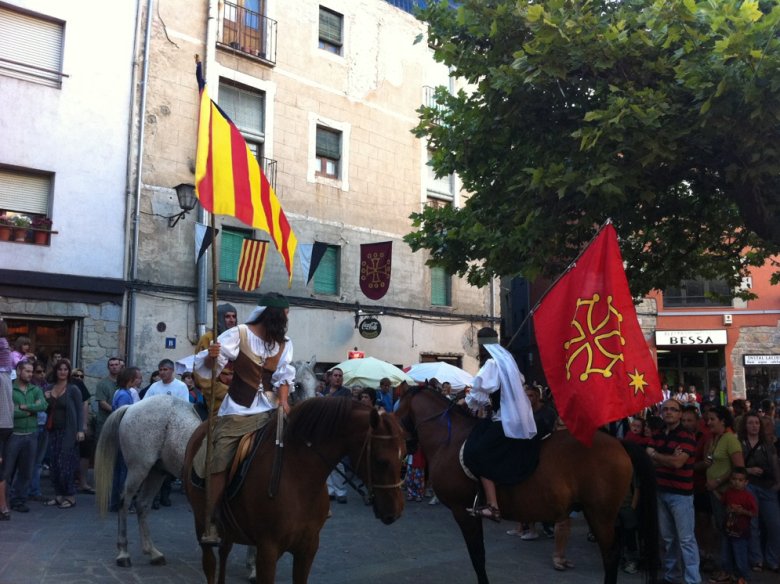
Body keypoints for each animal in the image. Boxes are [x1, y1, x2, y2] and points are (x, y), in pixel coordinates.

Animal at [93, 356, 318, 576]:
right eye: (298, 385)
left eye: (316, 385)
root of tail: (132, 407)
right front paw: (254, 567)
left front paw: (252, 564)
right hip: (138, 468)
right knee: (124, 501)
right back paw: (123, 553)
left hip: (157, 471)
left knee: (142, 505)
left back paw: (153, 553)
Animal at [181, 396, 406, 584]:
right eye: (381, 461)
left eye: (404, 457)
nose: (394, 512)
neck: (299, 476)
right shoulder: (268, 551)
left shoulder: (307, 549)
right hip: (202, 524)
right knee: (210, 564)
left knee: (224, 552)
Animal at [396, 388, 660, 584]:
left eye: (396, 410)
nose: (406, 447)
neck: (449, 440)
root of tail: (619, 443)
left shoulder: (464, 512)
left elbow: (477, 557)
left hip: (600, 514)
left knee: (611, 554)